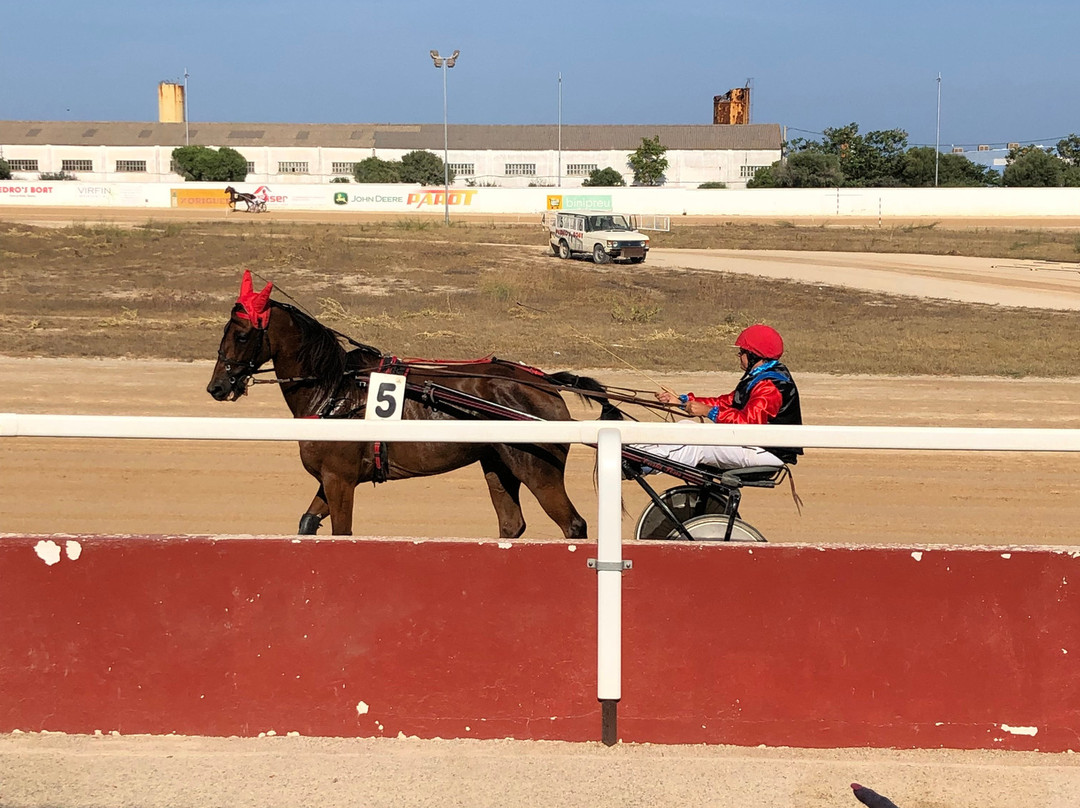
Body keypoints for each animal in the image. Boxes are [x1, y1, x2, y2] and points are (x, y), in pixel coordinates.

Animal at [206, 271, 622, 535]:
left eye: (241, 335)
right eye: (224, 331)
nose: (216, 386)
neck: (334, 393)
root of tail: (544, 382)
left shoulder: (340, 479)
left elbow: (342, 532)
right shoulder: (329, 479)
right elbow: (307, 523)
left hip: (537, 469)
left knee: (573, 525)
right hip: (498, 465)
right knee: (510, 524)